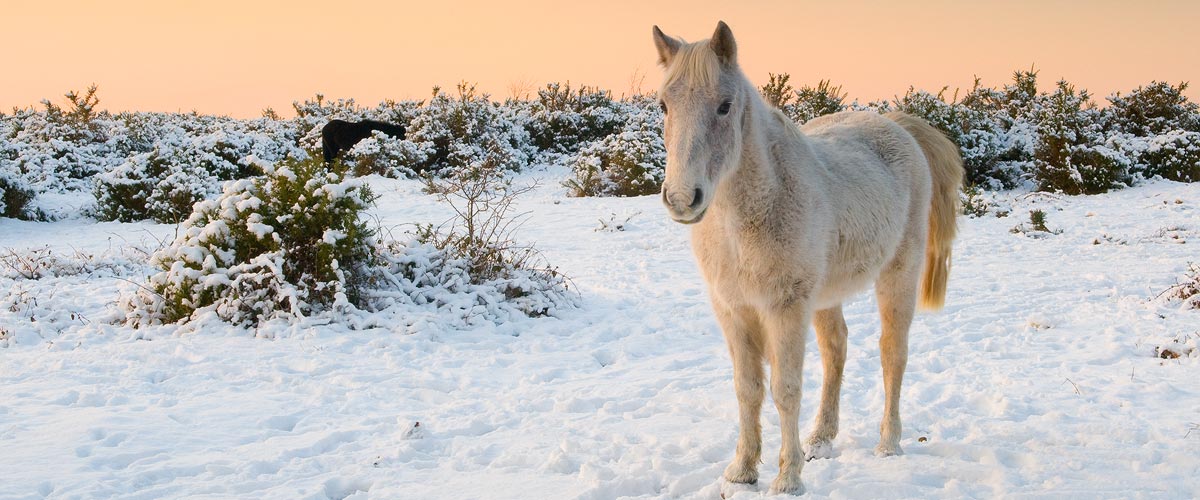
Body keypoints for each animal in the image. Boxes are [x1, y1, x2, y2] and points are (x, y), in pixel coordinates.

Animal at [652, 21, 960, 494]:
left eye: (724, 106)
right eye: (664, 105)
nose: (683, 199)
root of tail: (896, 125)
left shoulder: (785, 308)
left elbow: (785, 389)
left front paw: (787, 478)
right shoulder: (733, 310)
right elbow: (747, 388)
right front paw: (743, 470)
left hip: (898, 276)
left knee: (893, 352)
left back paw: (888, 443)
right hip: (827, 297)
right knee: (836, 350)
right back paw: (821, 439)